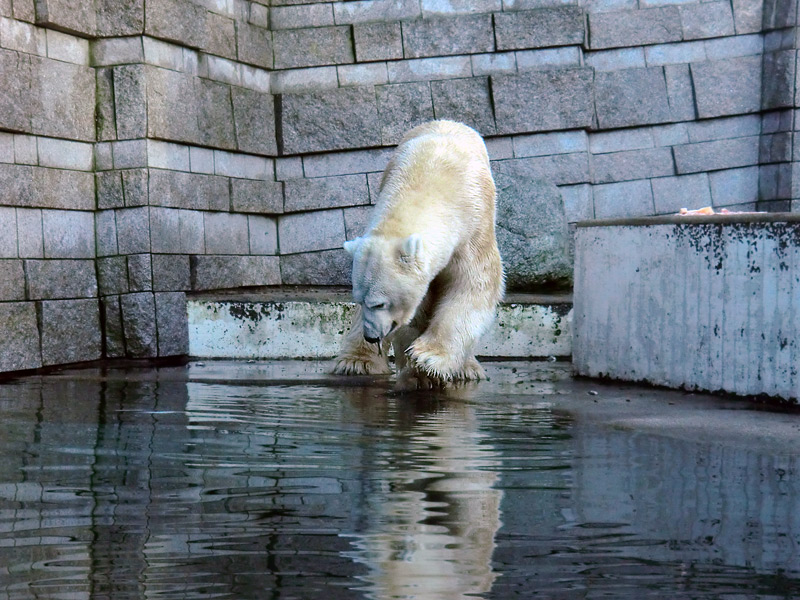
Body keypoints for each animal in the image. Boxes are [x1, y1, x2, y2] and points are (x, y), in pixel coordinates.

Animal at [334, 120, 504, 390]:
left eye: (380, 303)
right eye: (359, 300)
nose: (371, 337)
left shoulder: (473, 229)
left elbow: (472, 286)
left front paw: (428, 358)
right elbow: (414, 313)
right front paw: (417, 374)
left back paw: (468, 368)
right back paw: (357, 361)